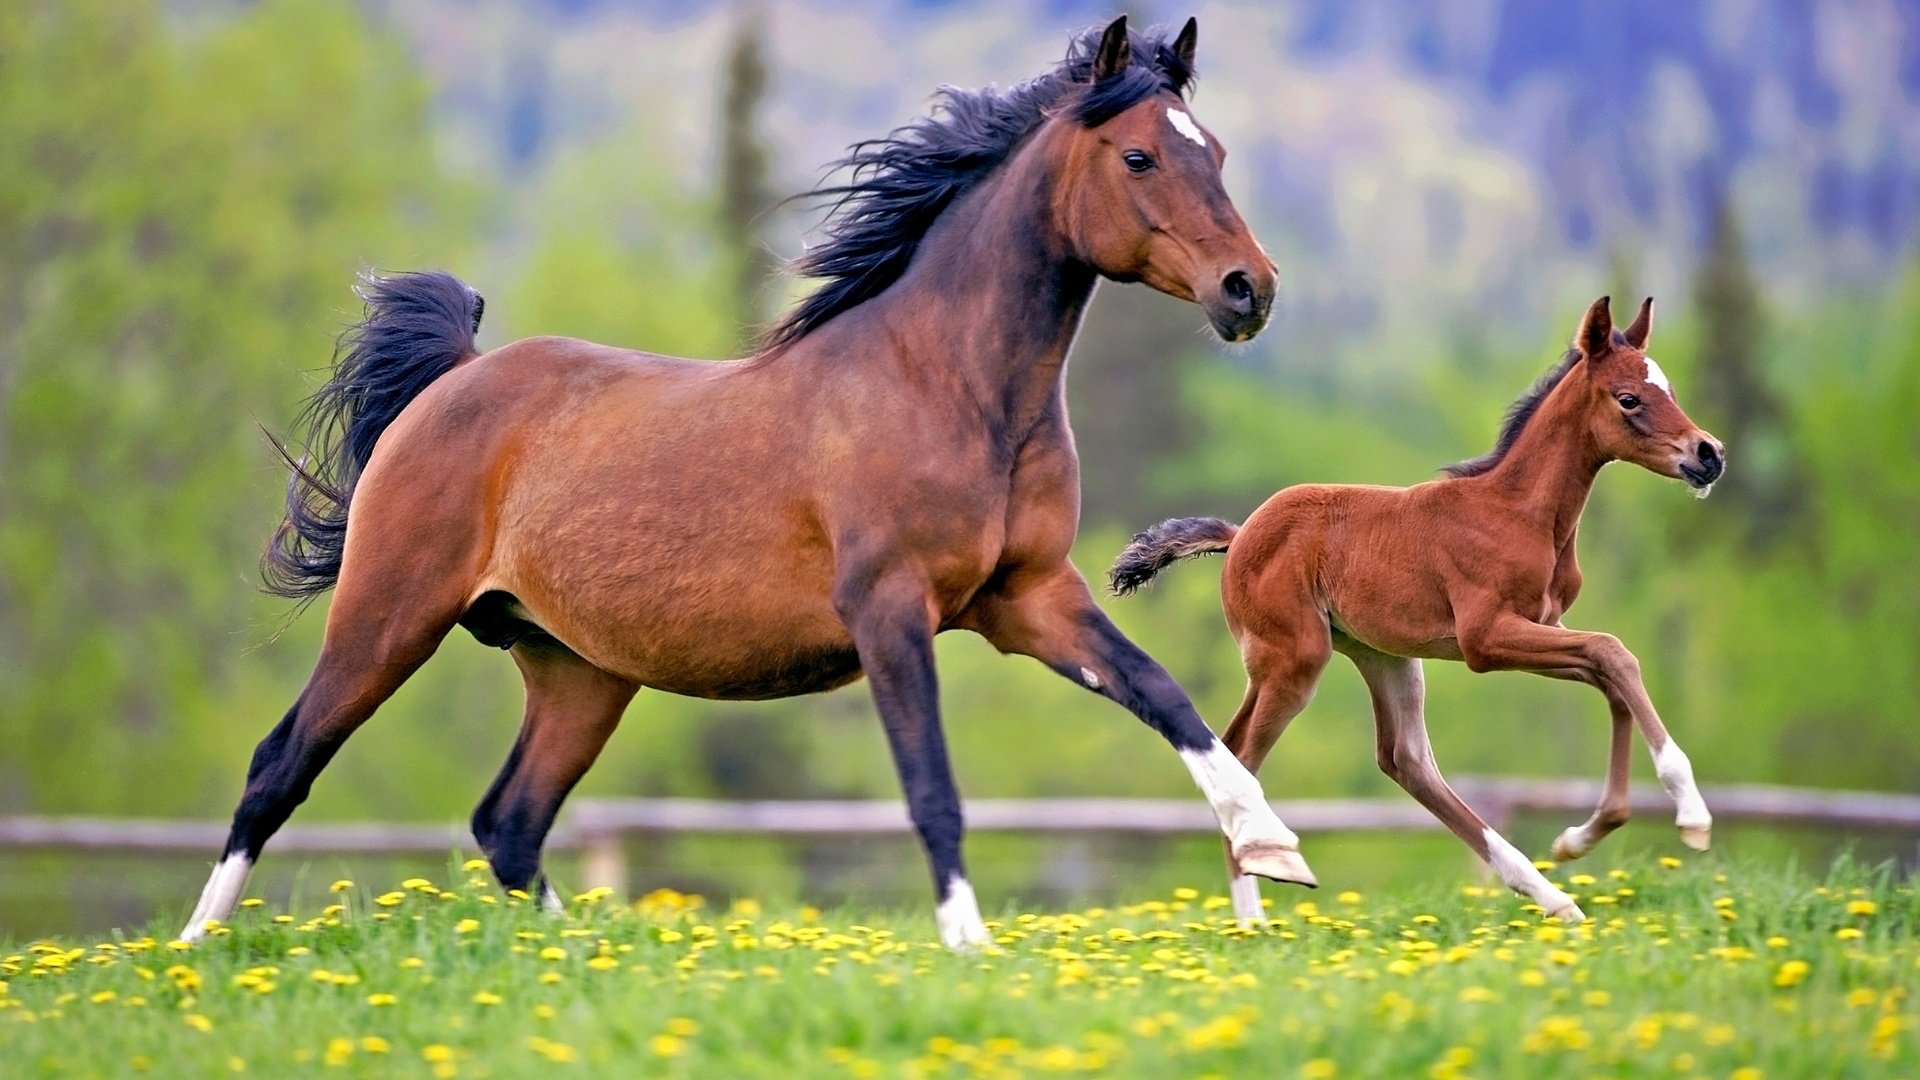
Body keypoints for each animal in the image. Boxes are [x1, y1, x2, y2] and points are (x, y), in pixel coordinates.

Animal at [183, 14, 1320, 941]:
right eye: (1138, 155)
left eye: (1214, 151)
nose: (1250, 290)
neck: (947, 387)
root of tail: (453, 381)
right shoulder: (890, 608)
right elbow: (932, 783)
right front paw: (970, 945)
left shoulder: (1028, 597)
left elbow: (1164, 695)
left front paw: (1273, 850)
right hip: (391, 613)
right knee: (279, 766)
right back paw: (195, 948)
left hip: (577, 668)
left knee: (509, 821)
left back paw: (590, 951)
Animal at [1113, 295, 1728, 926]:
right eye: (1629, 398)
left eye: (1668, 388)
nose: (1708, 454)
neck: (1519, 514)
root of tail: (1237, 537)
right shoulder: (1487, 639)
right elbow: (1614, 652)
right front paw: (1692, 815)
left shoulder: (1540, 627)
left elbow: (1609, 675)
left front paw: (1581, 837)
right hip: (1293, 660)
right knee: (1241, 755)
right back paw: (1255, 914)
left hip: (1385, 656)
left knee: (1404, 759)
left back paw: (1551, 896)